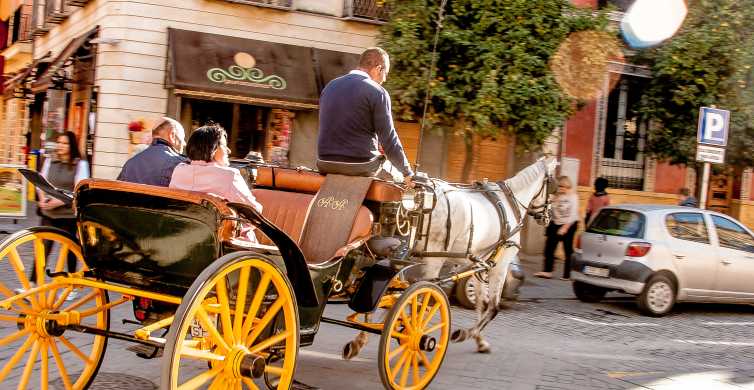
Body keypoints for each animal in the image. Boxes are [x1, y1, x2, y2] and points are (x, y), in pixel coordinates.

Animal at [418, 156, 560, 354]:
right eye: (553, 186)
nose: (549, 216)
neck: (511, 202)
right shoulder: (500, 265)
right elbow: (493, 307)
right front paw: (465, 334)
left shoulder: (480, 264)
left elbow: (480, 301)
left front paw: (480, 340)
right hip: (434, 257)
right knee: (423, 296)